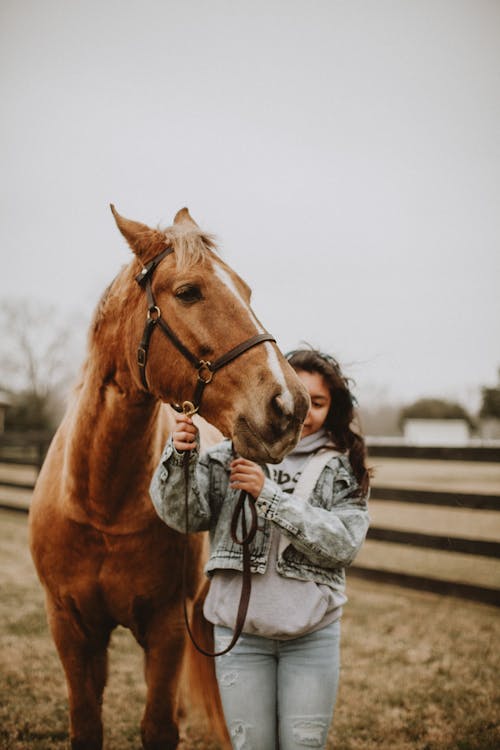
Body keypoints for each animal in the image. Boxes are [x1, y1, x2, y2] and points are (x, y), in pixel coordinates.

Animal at [29, 203, 310, 748]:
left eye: (246, 291)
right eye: (188, 292)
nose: (290, 405)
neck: (101, 505)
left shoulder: (166, 629)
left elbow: (159, 726)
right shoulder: (70, 629)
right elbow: (86, 725)